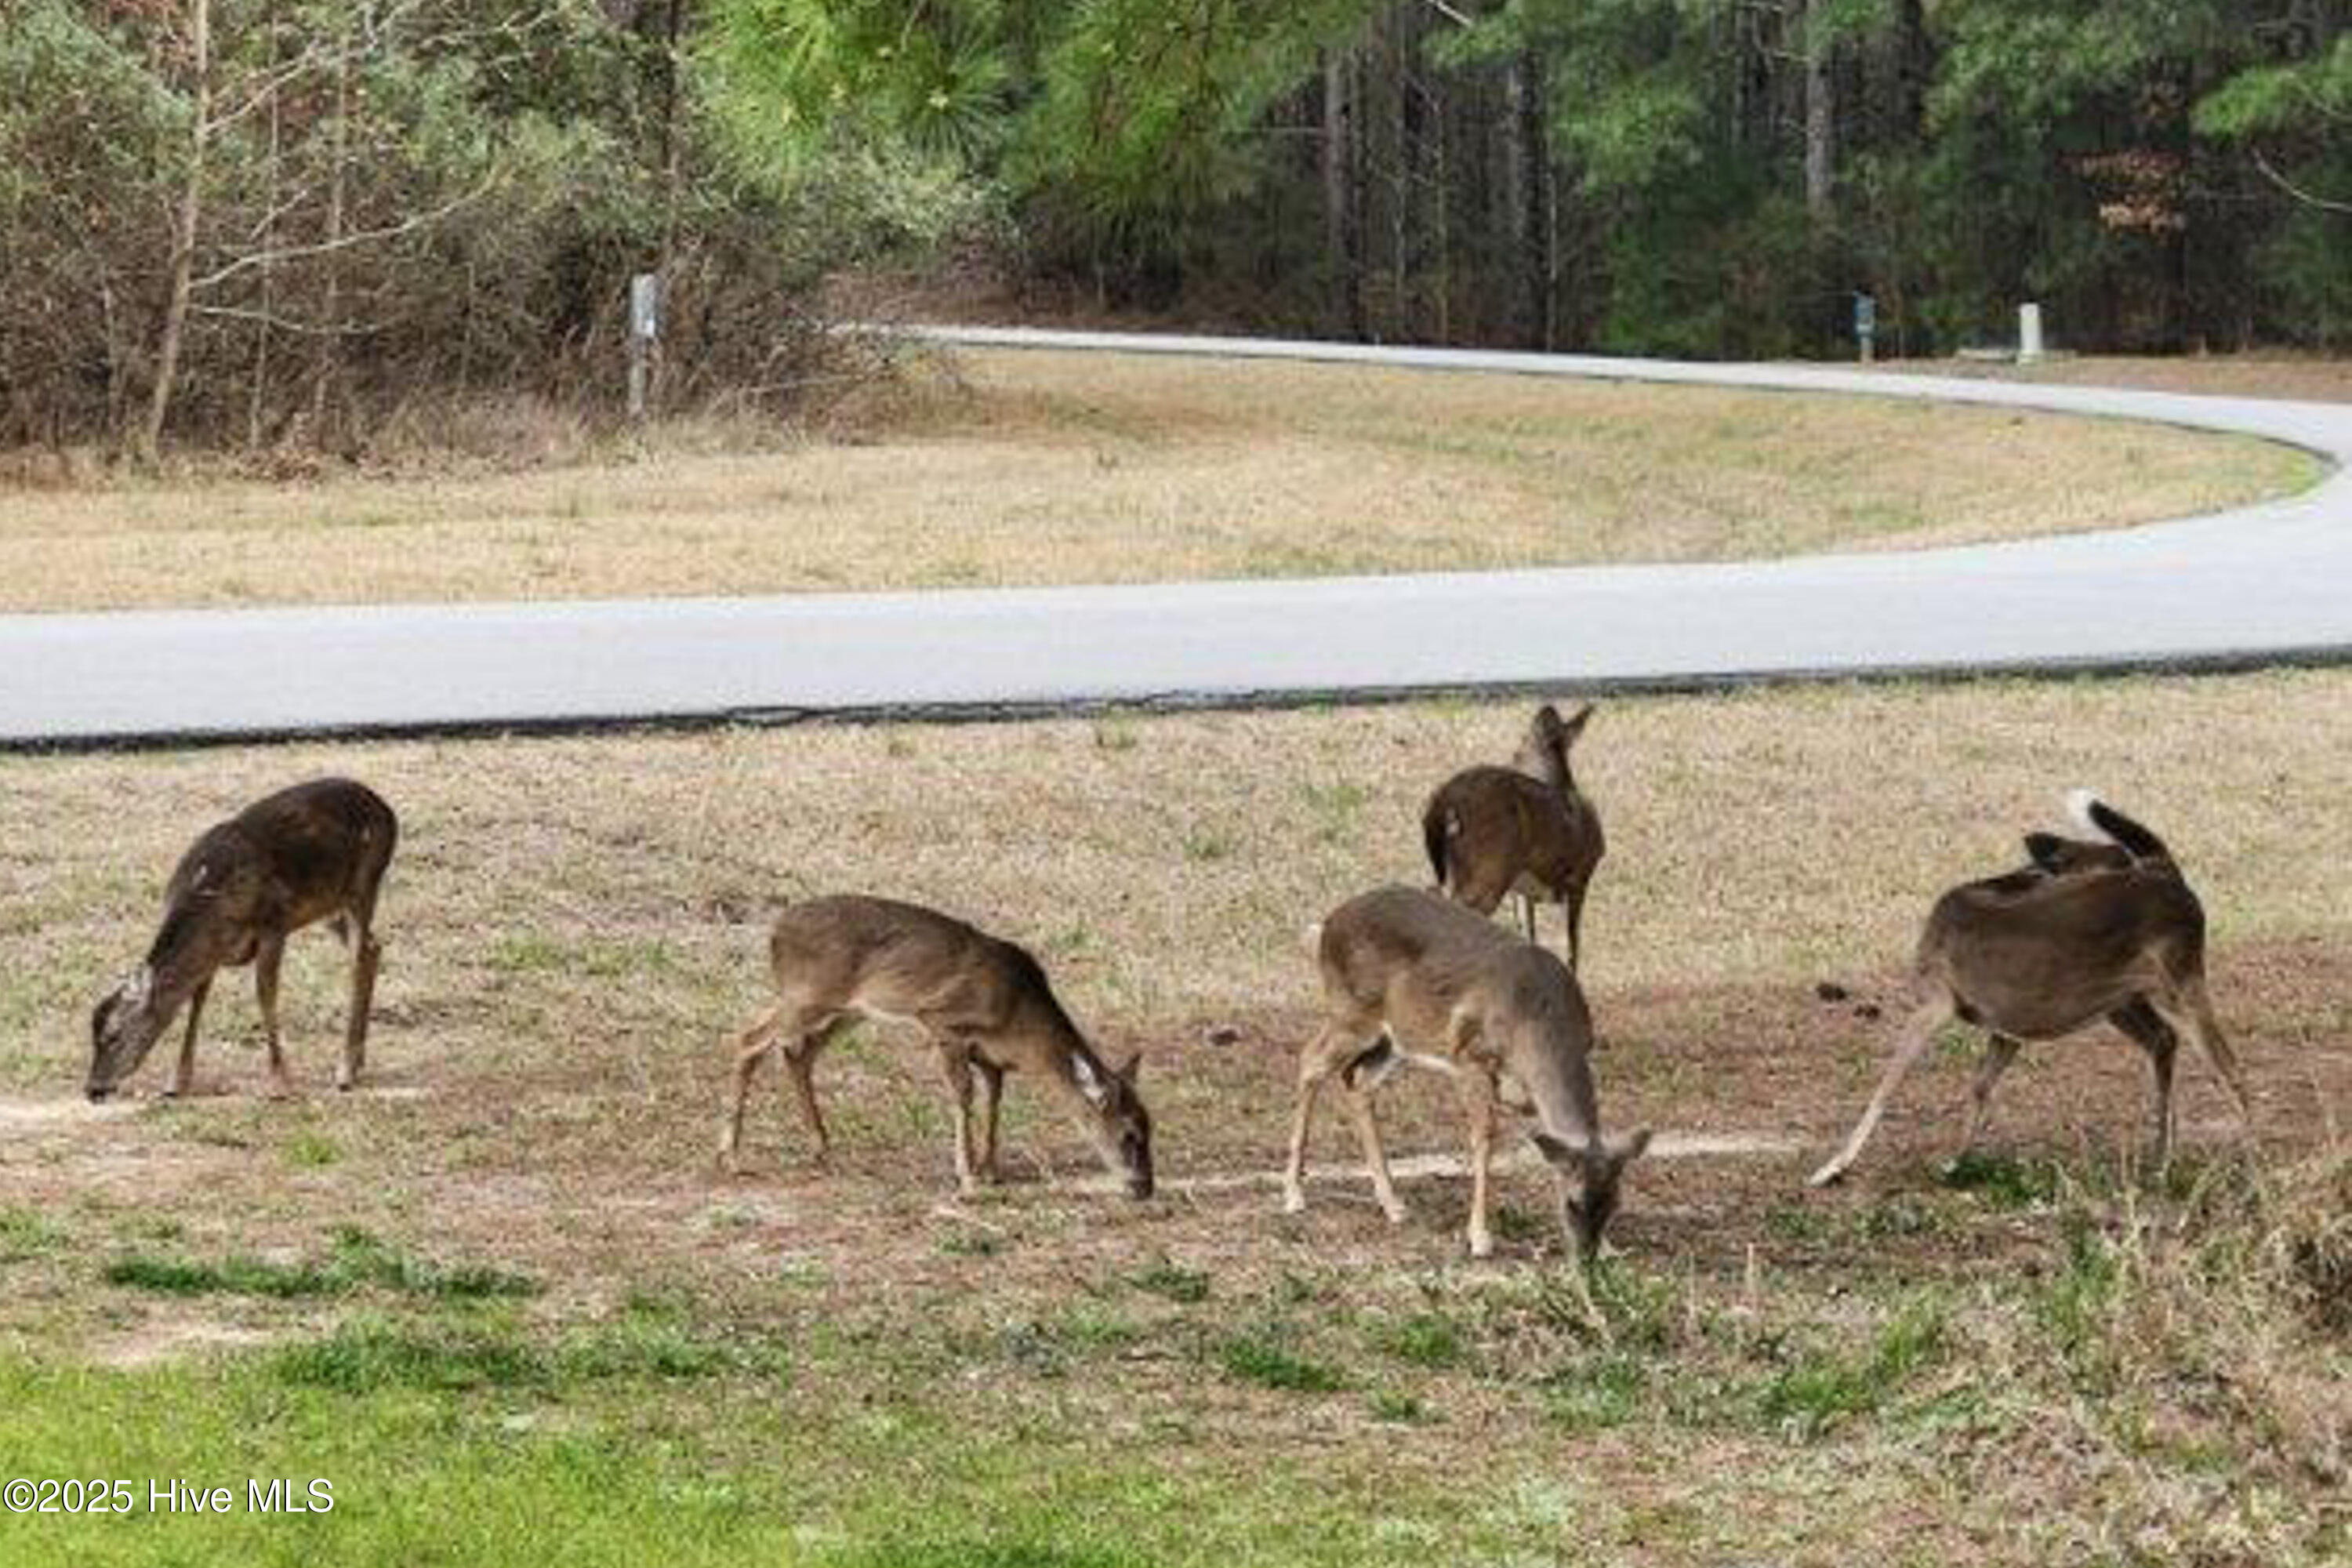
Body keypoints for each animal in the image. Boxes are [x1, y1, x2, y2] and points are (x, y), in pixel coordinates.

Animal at [86, 778, 397, 1103]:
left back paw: (345, 1070)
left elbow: (265, 995)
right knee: (373, 947)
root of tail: (386, 809)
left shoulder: (274, 924)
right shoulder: (215, 952)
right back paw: (358, 1062)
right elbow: (197, 1000)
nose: (93, 1088)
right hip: (330, 908)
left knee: (358, 959)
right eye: (92, 1035)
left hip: (365, 884)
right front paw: (176, 1083)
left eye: (114, 1035)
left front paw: (279, 1084)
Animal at [720, 895, 1154, 1199]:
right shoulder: (945, 1025)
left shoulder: (991, 1056)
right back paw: (732, 1156)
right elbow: (963, 1096)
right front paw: (967, 1176)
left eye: (1151, 1128)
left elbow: (994, 1100)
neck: (1018, 1018)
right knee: (747, 1040)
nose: (1145, 1188)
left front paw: (990, 1168)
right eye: (1130, 1134)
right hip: (809, 995)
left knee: (798, 1053)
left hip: (842, 1009)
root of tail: (775, 931)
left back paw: (820, 1147)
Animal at [1281, 884, 1651, 1259]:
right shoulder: (1472, 1060)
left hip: (1393, 1042)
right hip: (1352, 1015)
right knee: (1310, 1060)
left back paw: (1392, 1204)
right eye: (1572, 1203)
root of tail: (1327, 925)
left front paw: (1610, 1248)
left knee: (1358, 1083)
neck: (1535, 1021)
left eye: (1616, 1202)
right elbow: (1484, 1141)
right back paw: (1294, 1194)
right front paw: (1479, 1237)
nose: (1587, 1255)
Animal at [1421, 702, 1605, 971]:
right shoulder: (1581, 875)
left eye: (1519, 747)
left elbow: (1528, 933)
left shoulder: (1522, 890)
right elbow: (1573, 943)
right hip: (1488, 871)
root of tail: (1444, 801)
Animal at [1808, 791, 2249, 1188]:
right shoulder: (2008, 1025)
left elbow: (1887, 1085)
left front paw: (1832, 1167)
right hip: (2121, 997)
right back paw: (2162, 1162)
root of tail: (2166, 872)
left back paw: (2247, 1169)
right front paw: (1955, 1163)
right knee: (2163, 1041)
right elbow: (1980, 1088)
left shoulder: (1936, 1000)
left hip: (2178, 981)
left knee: (2228, 1066)